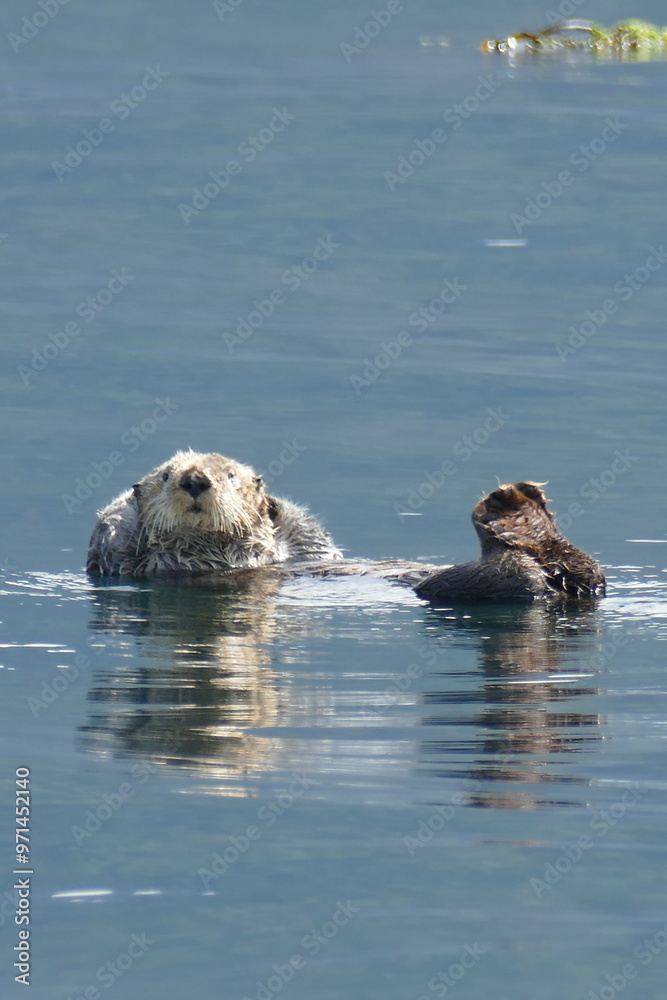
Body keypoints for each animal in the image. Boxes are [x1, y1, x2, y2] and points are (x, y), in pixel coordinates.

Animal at [86, 450, 342, 577]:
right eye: (165, 476)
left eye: (231, 476)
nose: (194, 479)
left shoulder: (304, 548)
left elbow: (317, 542)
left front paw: (270, 503)